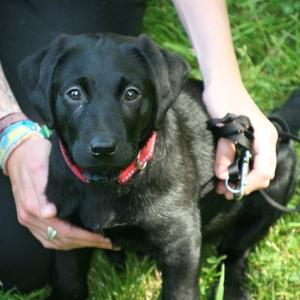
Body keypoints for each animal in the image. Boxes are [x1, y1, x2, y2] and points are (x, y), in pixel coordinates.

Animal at [19, 33, 300, 300]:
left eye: (131, 94)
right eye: (74, 93)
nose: (103, 149)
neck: (108, 183)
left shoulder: (181, 244)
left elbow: (179, 291)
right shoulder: (67, 232)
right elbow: (70, 281)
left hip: (277, 175)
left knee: (233, 253)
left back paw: (232, 289)